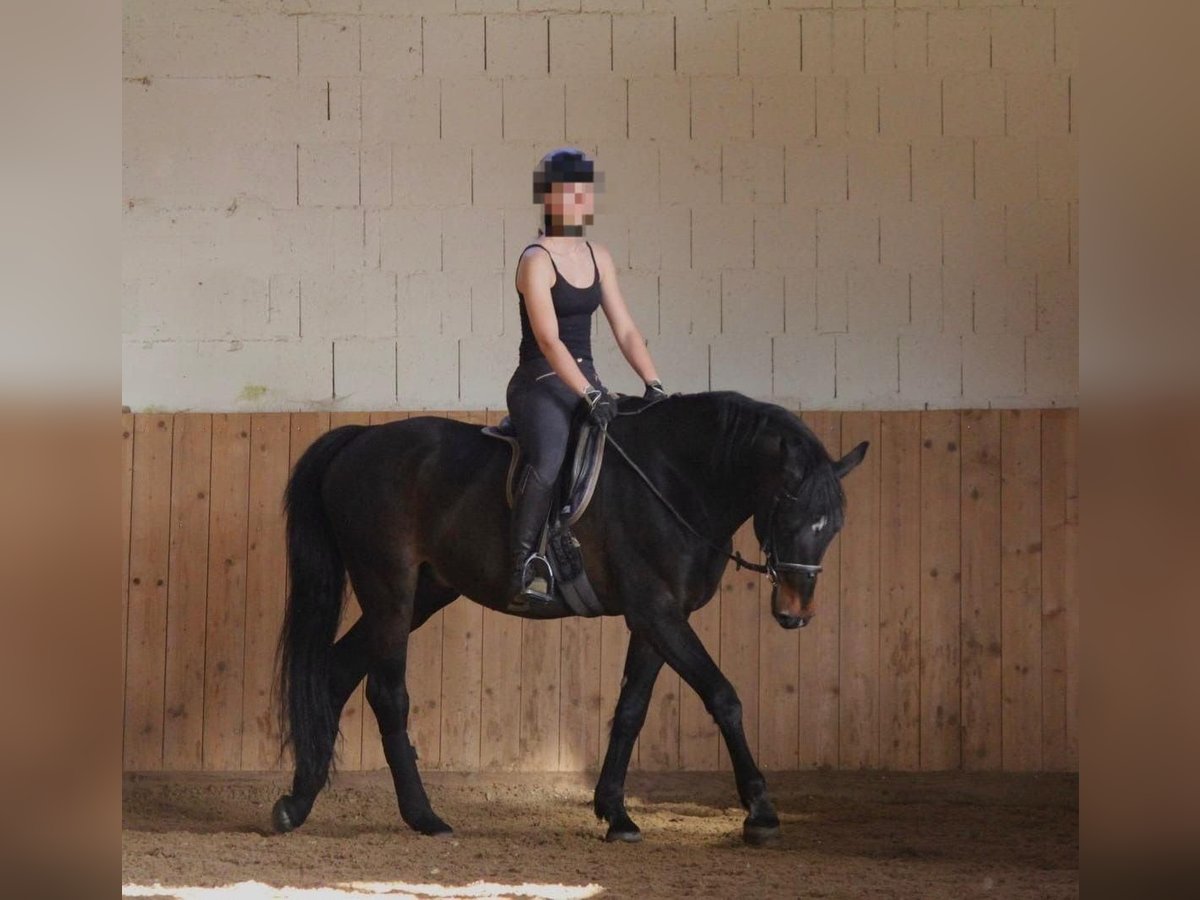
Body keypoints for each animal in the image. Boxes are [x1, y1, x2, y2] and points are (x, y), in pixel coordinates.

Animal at [272, 391, 868, 849]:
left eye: (835, 524)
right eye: (788, 512)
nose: (795, 614)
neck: (675, 479)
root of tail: (361, 439)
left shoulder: (655, 620)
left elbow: (631, 710)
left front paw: (616, 814)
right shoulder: (658, 612)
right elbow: (723, 697)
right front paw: (761, 812)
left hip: (422, 594)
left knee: (335, 672)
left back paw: (296, 803)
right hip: (389, 589)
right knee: (385, 694)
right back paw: (424, 817)